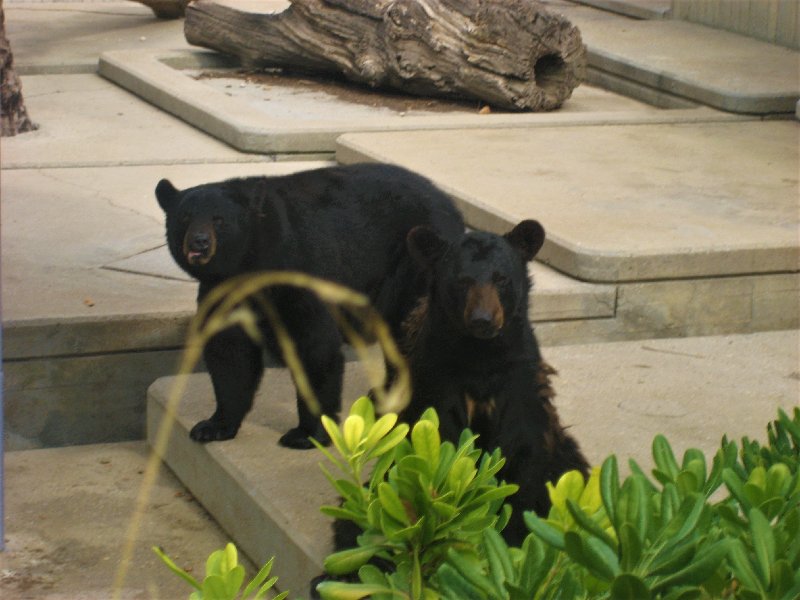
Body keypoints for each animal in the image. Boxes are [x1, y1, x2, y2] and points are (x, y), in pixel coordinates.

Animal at [155, 162, 462, 448]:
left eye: (219, 220)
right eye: (184, 217)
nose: (199, 242)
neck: (251, 263)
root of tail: (452, 208)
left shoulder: (298, 270)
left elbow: (314, 347)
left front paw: (306, 434)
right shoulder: (223, 290)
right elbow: (230, 352)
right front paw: (213, 426)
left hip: (413, 266)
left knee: (409, 334)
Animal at [398, 219, 588, 544]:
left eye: (501, 278)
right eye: (462, 281)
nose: (482, 319)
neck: (481, 356)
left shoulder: (520, 383)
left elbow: (520, 453)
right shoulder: (437, 380)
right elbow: (443, 442)